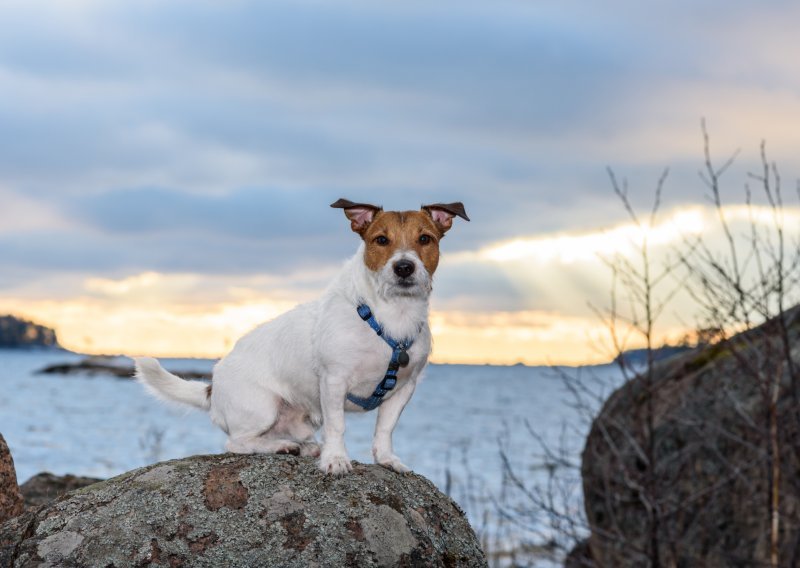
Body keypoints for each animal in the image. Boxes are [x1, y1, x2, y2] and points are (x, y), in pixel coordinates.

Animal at [133, 200, 468, 474]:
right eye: (381, 240)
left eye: (425, 239)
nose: (404, 267)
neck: (390, 315)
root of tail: (212, 386)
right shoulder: (334, 381)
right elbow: (337, 426)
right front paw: (336, 459)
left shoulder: (403, 389)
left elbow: (385, 429)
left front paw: (387, 460)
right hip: (262, 407)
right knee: (237, 442)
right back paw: (280, 447)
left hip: (298, 420)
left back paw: (301, 447)